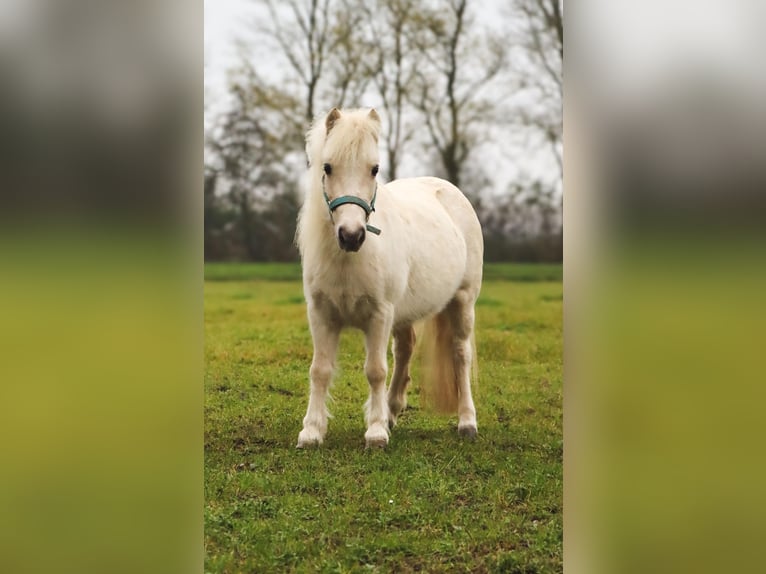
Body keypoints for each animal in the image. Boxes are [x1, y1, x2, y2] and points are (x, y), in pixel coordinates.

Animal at [296, 108, 484, 450]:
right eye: (327, 167)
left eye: (374, 169)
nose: (352, 236)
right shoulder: (321, 314)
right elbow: (320, 370)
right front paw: (312, 431)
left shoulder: (380, 314)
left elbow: (375, 371)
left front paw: (375, 433)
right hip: (404, 313)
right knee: (405, 349)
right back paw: (392, 410)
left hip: (463, 301)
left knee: (460, 354)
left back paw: (467, 422)